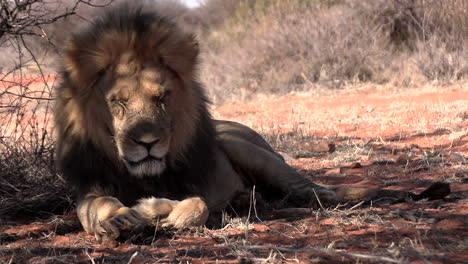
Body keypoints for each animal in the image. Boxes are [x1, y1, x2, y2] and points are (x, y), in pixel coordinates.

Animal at [54, 3, 450, 241]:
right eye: (118, 102)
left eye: (162, 97)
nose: (148, 143)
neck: (149, 174)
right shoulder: (90, 189)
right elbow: (99, 206)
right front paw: (120, 219)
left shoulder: (203, 189)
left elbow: (197, 205)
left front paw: (156, 210)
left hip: (246, 149)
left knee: (319, 193)